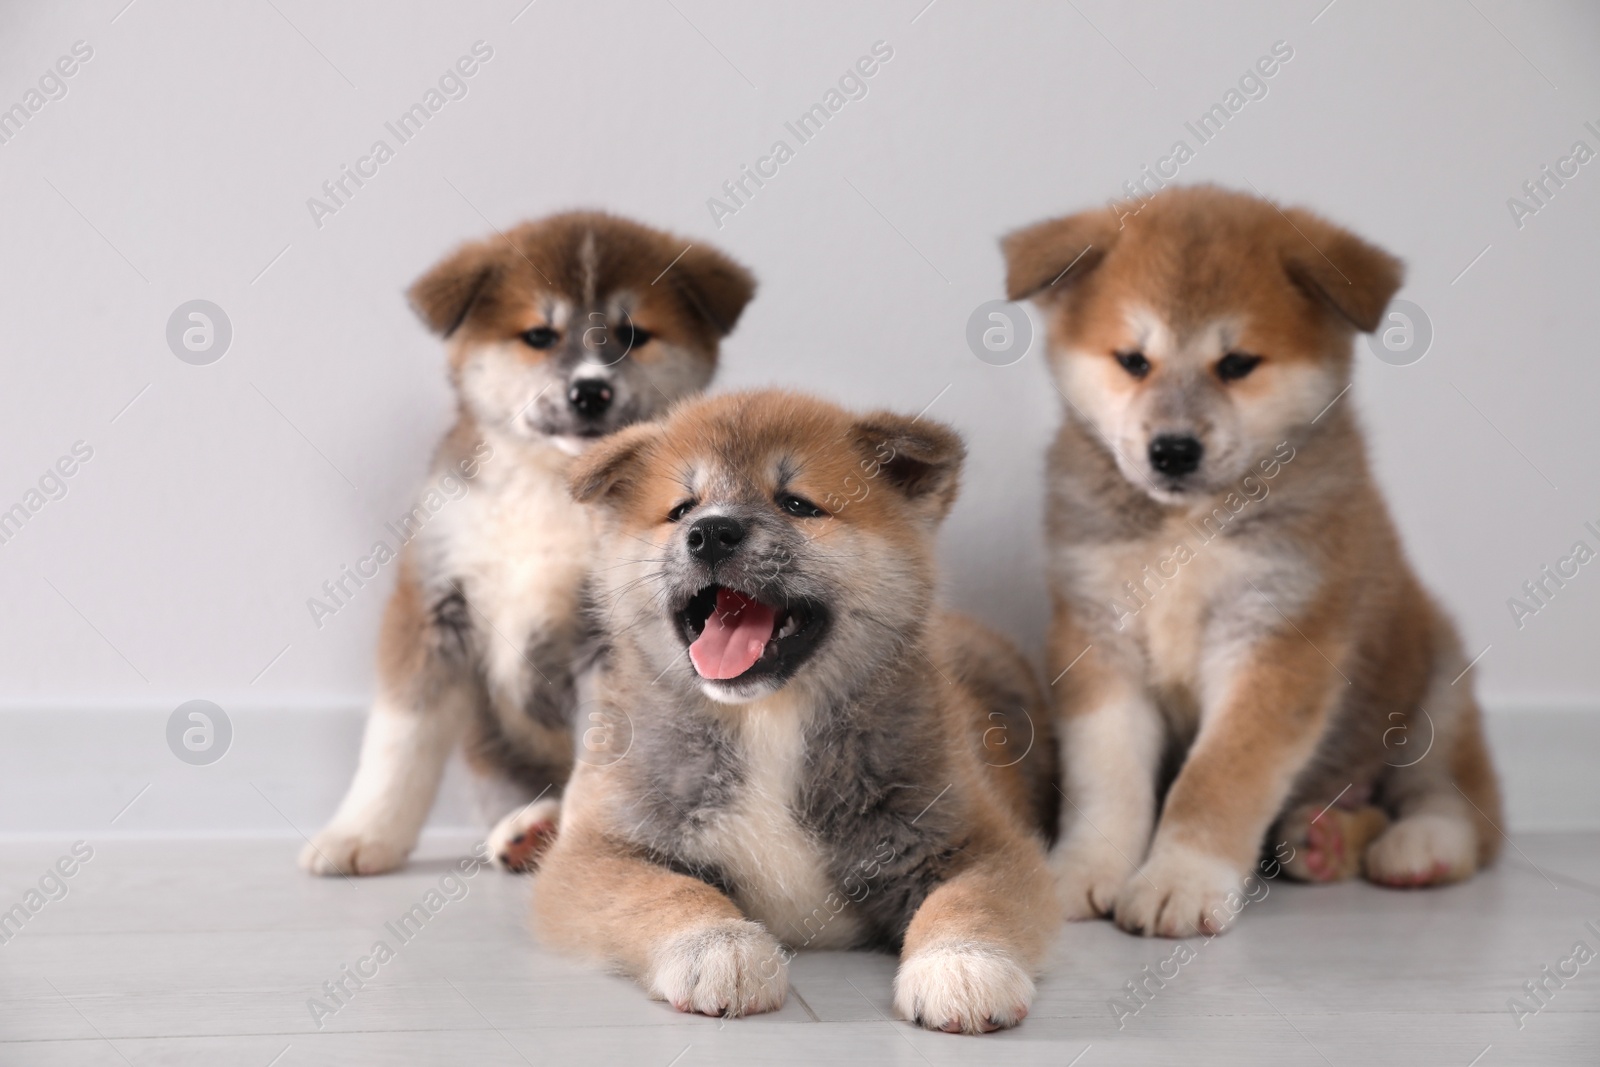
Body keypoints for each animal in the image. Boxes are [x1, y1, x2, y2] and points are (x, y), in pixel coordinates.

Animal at [300, 211, 755, 876]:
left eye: (633, 334)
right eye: (540, 335)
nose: (590, 391)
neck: (551, 492)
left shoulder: (610, 642)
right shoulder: (433, 602)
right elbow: (399, 738)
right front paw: (362, 833)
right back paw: (527, 830)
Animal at [534, 390, 1062, 1036]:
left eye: (797, 504)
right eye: (682, 509)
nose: (711, 533)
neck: (768, 720)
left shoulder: (979, 842)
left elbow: (971, 900)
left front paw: (961, 963)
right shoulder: (598, 851)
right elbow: (663, 892)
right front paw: (719, 945)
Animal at [1004, 187, 1504, 940]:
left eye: (1237, 363)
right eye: (1133, 360)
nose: (1172, 450)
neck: (1184, 528)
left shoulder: (1275, 640)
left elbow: (1216, 780)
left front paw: (1180, 880)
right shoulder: (1098, 642)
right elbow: (1107, 780)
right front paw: (1082, 869)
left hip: (1438, 692)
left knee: (1457, 801)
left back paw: (1419, 846)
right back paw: (1322, 837)